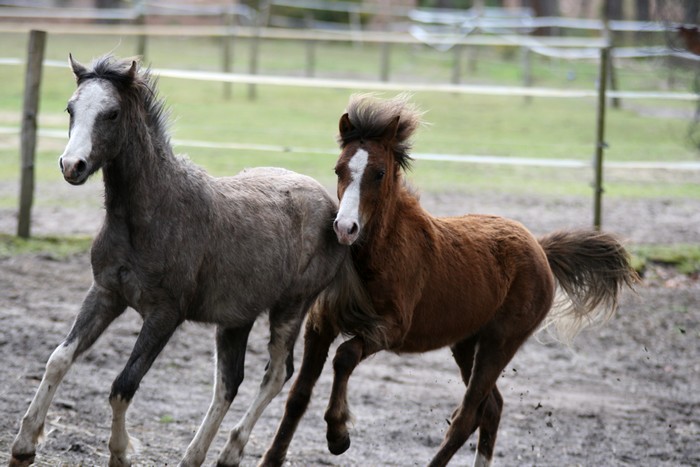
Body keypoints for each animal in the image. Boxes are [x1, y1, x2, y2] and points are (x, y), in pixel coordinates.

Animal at [260, 95, 636, 467]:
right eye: (339, 169)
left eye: (379, 173)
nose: (344, 228)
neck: (378, 255)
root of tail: (540, 248)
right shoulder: (321, 325)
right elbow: (298, 395)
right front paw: (272, 457)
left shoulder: (390, 329)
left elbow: (345, 356)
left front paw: (338, 434)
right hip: (466, 343)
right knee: (491, 408)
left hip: (500, 343)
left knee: (468, 415)